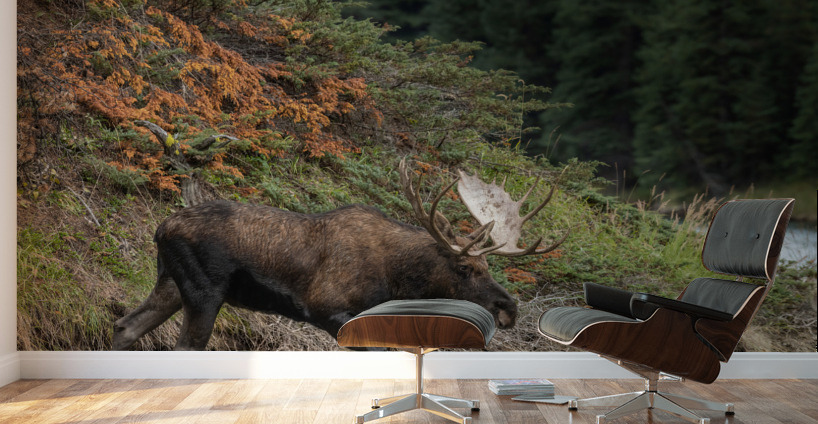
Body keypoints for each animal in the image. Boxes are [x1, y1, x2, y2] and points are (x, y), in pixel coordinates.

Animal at [112, 159, 568, 350]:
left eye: (488, 264)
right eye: (464, 266)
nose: (509, 308)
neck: (396, 279)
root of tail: (160, 229)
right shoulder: (329, 310)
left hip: (171, 283)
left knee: (125, 326)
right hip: (205, 292)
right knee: (184, 347)